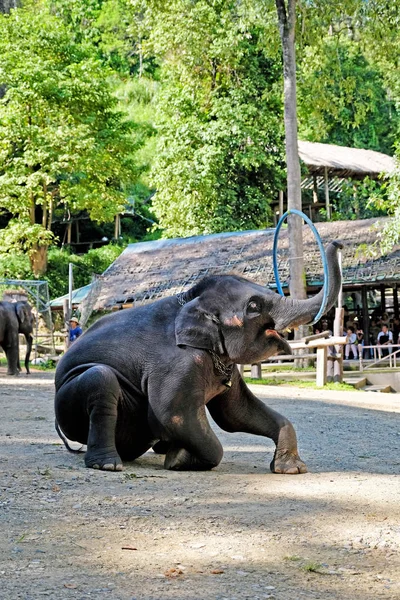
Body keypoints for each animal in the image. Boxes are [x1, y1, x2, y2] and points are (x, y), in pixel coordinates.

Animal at [54, 241, 344, 476]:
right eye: (254, 306)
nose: (337, 244)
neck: (191, 299)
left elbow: (236, 413)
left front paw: (291, 469)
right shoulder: (176, 364)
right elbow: (175, 413)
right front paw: (180, 460)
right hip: (68, 407)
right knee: (100, 378)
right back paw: (108, 464)